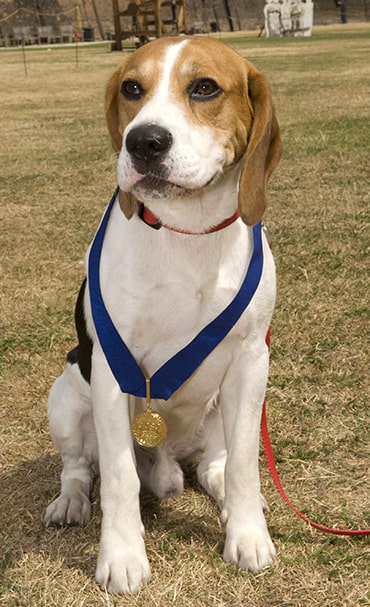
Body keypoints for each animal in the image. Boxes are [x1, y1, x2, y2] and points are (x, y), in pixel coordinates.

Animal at [44, 36, 280, 592]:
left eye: (205, 87)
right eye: (132, 88)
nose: (143, 142)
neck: (187, 231)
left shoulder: (250, 362)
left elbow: (243, 463)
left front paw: (247, 537)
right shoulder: (113, 367)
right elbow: (119, 476)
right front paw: (122, 557)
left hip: (225, 408)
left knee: (217, 466)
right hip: (64, 394)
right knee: (80, 468)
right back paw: (70, 501)